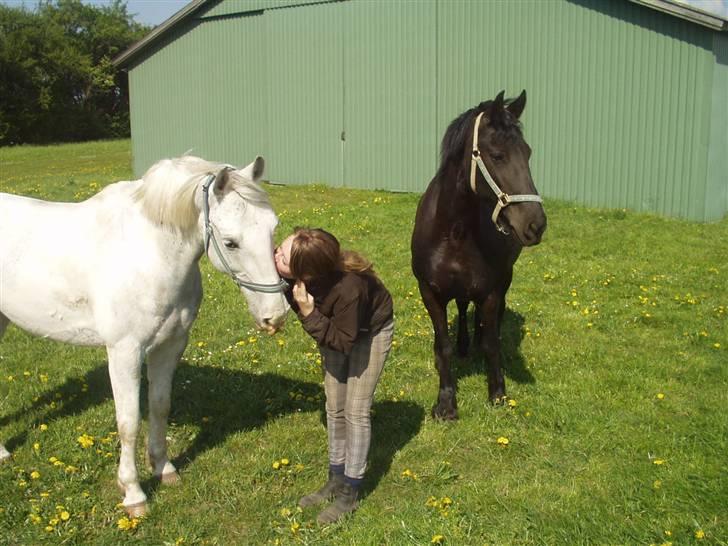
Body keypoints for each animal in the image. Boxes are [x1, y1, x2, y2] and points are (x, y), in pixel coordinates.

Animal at [0, 154, 290, 516]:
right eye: (230, 243)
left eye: (272, 228)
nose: (275, 315)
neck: (149, 254)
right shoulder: (125, 352)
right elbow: (128, 422)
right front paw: (133, 493)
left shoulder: (170, 346)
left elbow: (159, 406)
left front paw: (164, 469)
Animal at [412, 91, 544, 418]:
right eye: (497, 155)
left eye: (527, 152)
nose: (536, 224)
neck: (455, 232)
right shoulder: (429, 292)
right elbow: (442, 345)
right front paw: (446, 402)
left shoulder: (492, 290)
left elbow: (491, 342)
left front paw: (497, 392)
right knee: (461, 307)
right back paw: (464, 344)